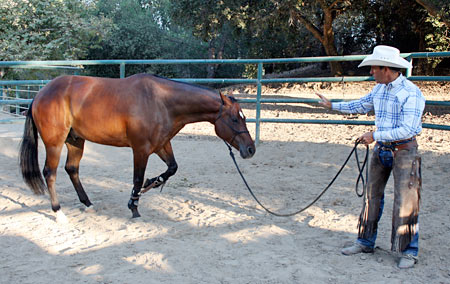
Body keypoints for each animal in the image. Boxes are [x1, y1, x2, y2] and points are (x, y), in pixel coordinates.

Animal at [17, 74, 255, 222]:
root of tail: (40, 94)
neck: (161, 101)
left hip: (75, 140)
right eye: (235, 119)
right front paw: (134, 207)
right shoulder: (141, 149)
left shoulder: (161, 144)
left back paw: (88, 204)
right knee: (50, 173)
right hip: (55, 143)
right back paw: (58, 213)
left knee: (72, 169)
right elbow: (137, 178)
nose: (251, 149)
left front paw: (151, 184)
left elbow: (172, 168)